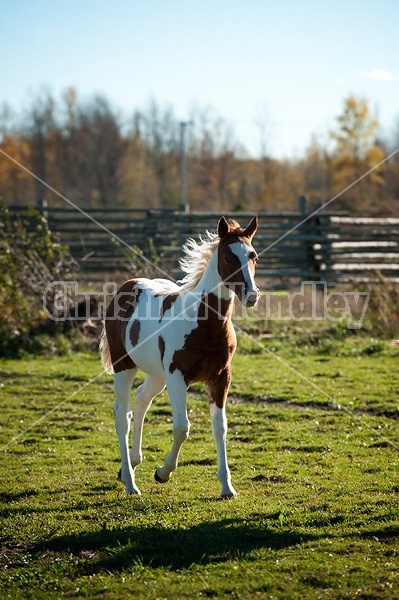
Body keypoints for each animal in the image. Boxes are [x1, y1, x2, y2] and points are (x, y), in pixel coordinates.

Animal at [101, 216, 260, 496]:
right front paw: (162, 472)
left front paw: (227, 486)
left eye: (254, 256)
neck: (205, 325)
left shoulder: (220, 378)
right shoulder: (177, 376)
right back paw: (130, 483)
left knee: (141, 400)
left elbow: (220, 427)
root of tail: (127, 285)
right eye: (228, 257)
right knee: (122, 416)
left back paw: (131, 463)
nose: (251, 295)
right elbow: (181, 427)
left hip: (157, 375)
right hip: (125, 366)